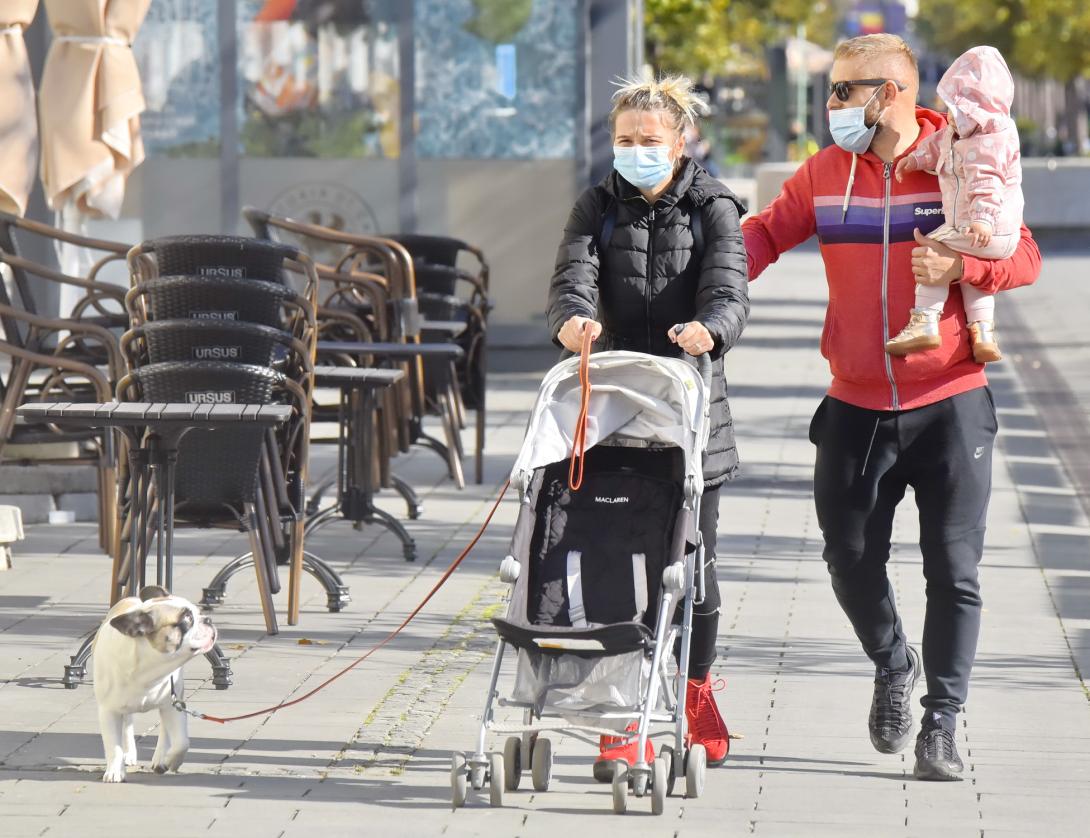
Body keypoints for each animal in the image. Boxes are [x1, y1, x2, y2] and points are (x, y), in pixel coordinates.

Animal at [95, 584, 219, 780]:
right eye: (187, 619)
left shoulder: (173, 705)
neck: (148, 670)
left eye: (198, 613)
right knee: (127, 723)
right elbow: (113, 744)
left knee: (164, 728)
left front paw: (171, 761)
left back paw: (161, 756)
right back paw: (129, 753)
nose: (208, 619)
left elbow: (181, 742)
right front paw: (115, 770)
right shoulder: (108, 710)